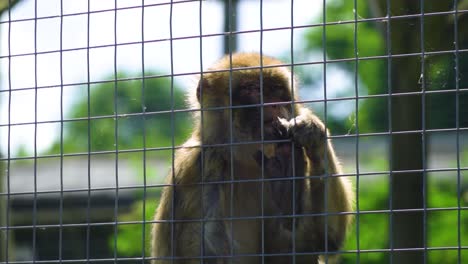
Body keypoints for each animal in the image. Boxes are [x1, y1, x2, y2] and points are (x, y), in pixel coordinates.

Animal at [152, 52, 352, 264]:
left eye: (276, 90)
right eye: (254, 89)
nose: (274, 104)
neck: (243, 156)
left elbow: (325, 239)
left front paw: (312, 137)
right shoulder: (199, 164)